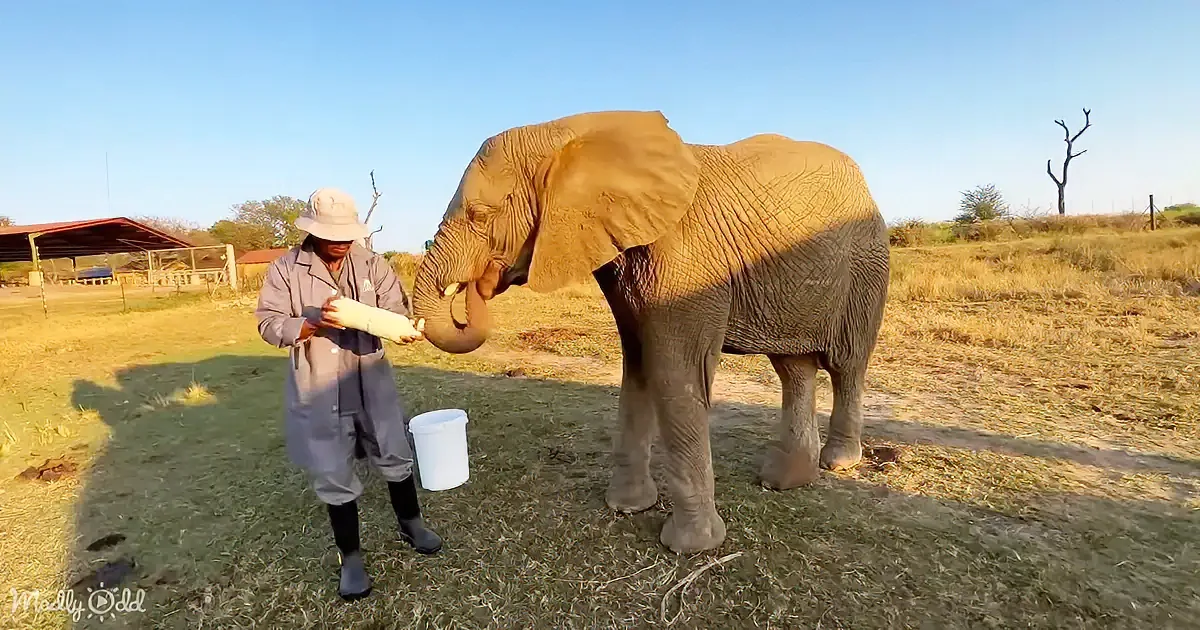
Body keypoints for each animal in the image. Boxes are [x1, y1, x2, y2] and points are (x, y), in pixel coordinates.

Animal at [412, 110, 890, 554]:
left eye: (480, 215)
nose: (479, 284)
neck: (572, 133)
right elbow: (638, 362)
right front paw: (626, 508)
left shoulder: (685, 258)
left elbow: (675, 371)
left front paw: (690, 547)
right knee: (794, 369)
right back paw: (784, 480)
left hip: (867, 263)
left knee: (846, 365)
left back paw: (838, 463)